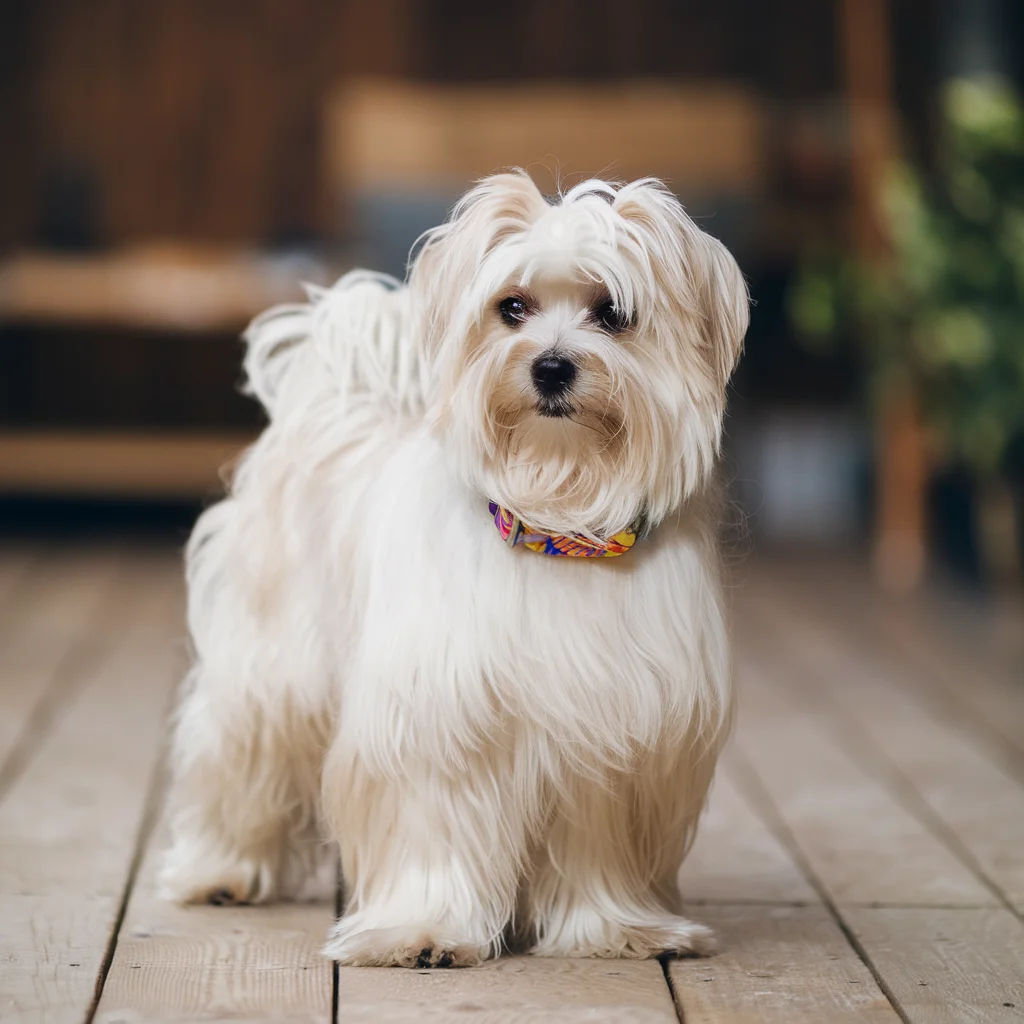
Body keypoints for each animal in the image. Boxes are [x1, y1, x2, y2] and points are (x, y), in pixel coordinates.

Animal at [161, 169, 753, 966]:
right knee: (238, 760)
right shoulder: (435, 719)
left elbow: (598, 848)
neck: (556, 522)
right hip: (270, 674)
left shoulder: (616, 737)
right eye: (512, 307)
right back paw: (219, 870)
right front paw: (424, 931)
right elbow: (432, 831)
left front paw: (614, 929)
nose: (552, 365)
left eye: (612, 312)